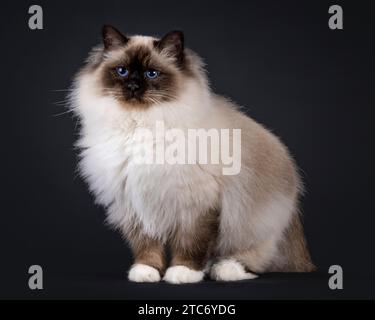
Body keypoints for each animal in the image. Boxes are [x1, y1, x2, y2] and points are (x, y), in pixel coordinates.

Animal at [69, 25, 316, 284]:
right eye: (122, 71)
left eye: (152, 74)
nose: (134, 87)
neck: (140, 124)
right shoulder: (135, 202)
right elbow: (147, 246)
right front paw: (147, 272)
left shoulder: (195, 204)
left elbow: (190, 243)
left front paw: (183, 272)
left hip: (250, 223)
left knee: (253, 258)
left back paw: (223, 269)